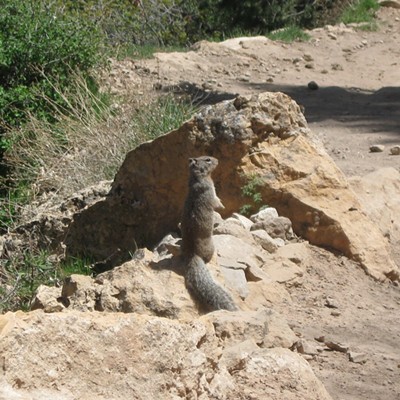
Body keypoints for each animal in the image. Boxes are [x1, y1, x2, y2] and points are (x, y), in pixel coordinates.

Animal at [181, 156, 238, 312]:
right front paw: (223, 207)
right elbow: (217, 202)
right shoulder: (211, 190)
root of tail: (192, 254)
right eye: (207, 160)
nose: (217, 160)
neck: (197, 178)